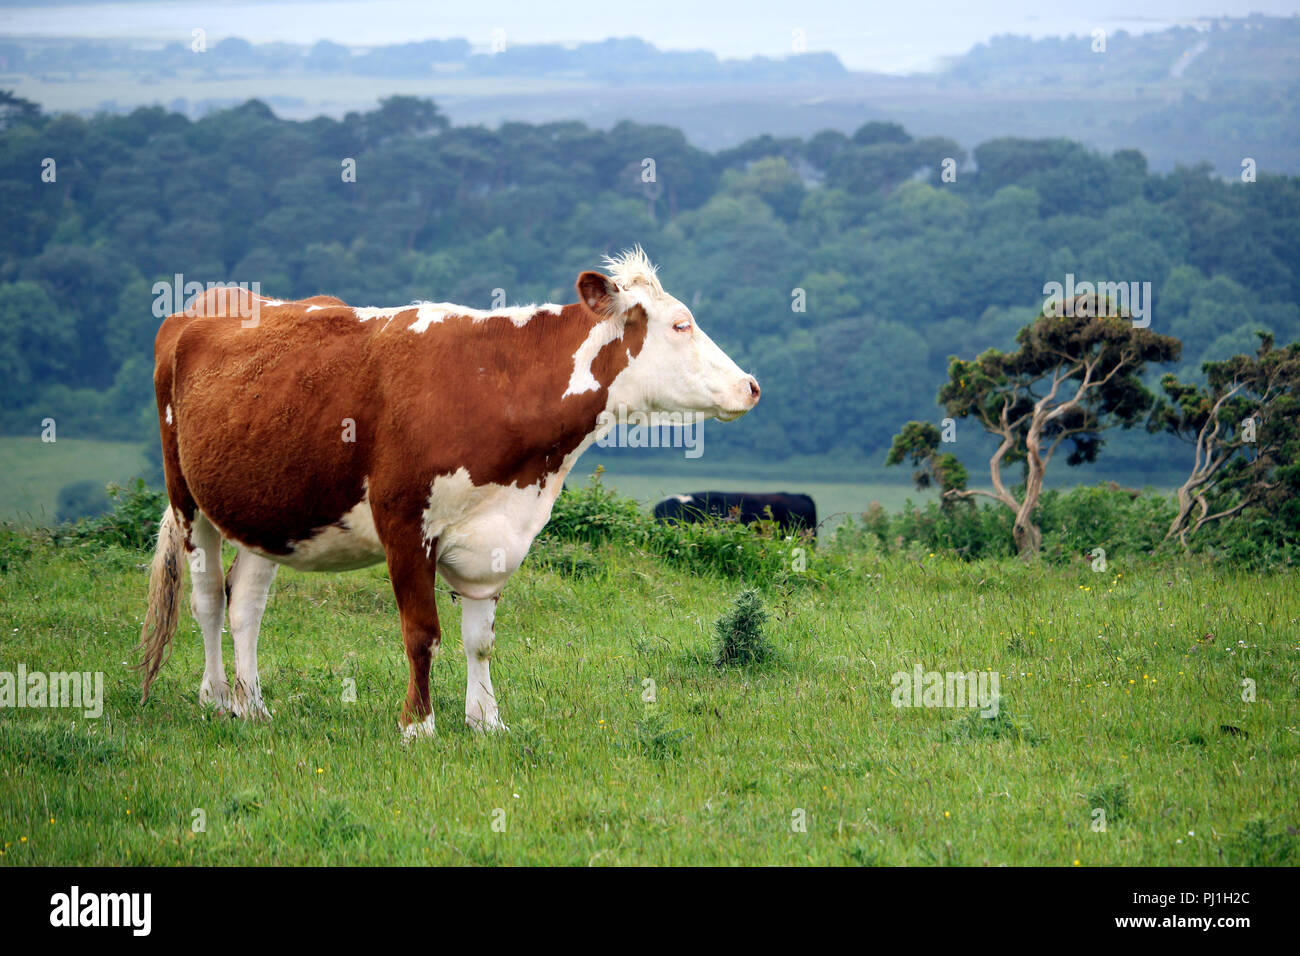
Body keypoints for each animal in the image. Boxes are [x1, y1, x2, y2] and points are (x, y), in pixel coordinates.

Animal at [137, 251, 759, 738]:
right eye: (680, 325)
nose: (750, 386)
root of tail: (210, 302)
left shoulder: (496, 534)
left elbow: (479, 639)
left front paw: (486, 720)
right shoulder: (404, 525)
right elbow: (422, 634)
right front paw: (418, 724)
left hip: (269, 512)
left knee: (246, 603)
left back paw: (254, 707)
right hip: (188, 498)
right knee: (208, 601)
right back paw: (217, 698)